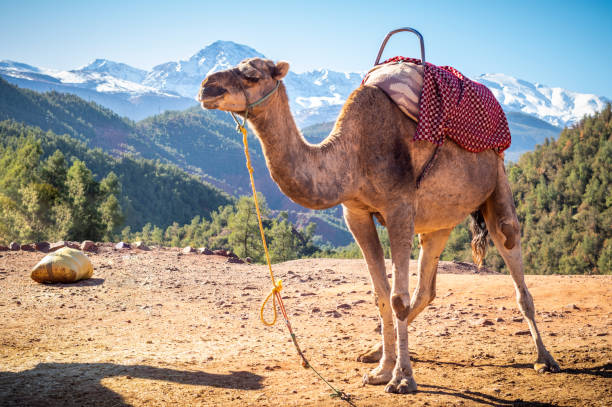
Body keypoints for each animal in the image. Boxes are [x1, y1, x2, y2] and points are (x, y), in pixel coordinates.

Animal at [198, 58, 560, 396]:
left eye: (252, 75)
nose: (206, 87)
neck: (352, 155)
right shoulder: (355, 213)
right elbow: (381, 294)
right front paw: (383, 369)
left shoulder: (399, 207)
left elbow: (397, 298)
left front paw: (402, 379)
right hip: (439, 220)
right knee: (427, 286)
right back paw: (376, 351)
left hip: (497, 179)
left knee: (512, 257)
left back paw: (545, 359)